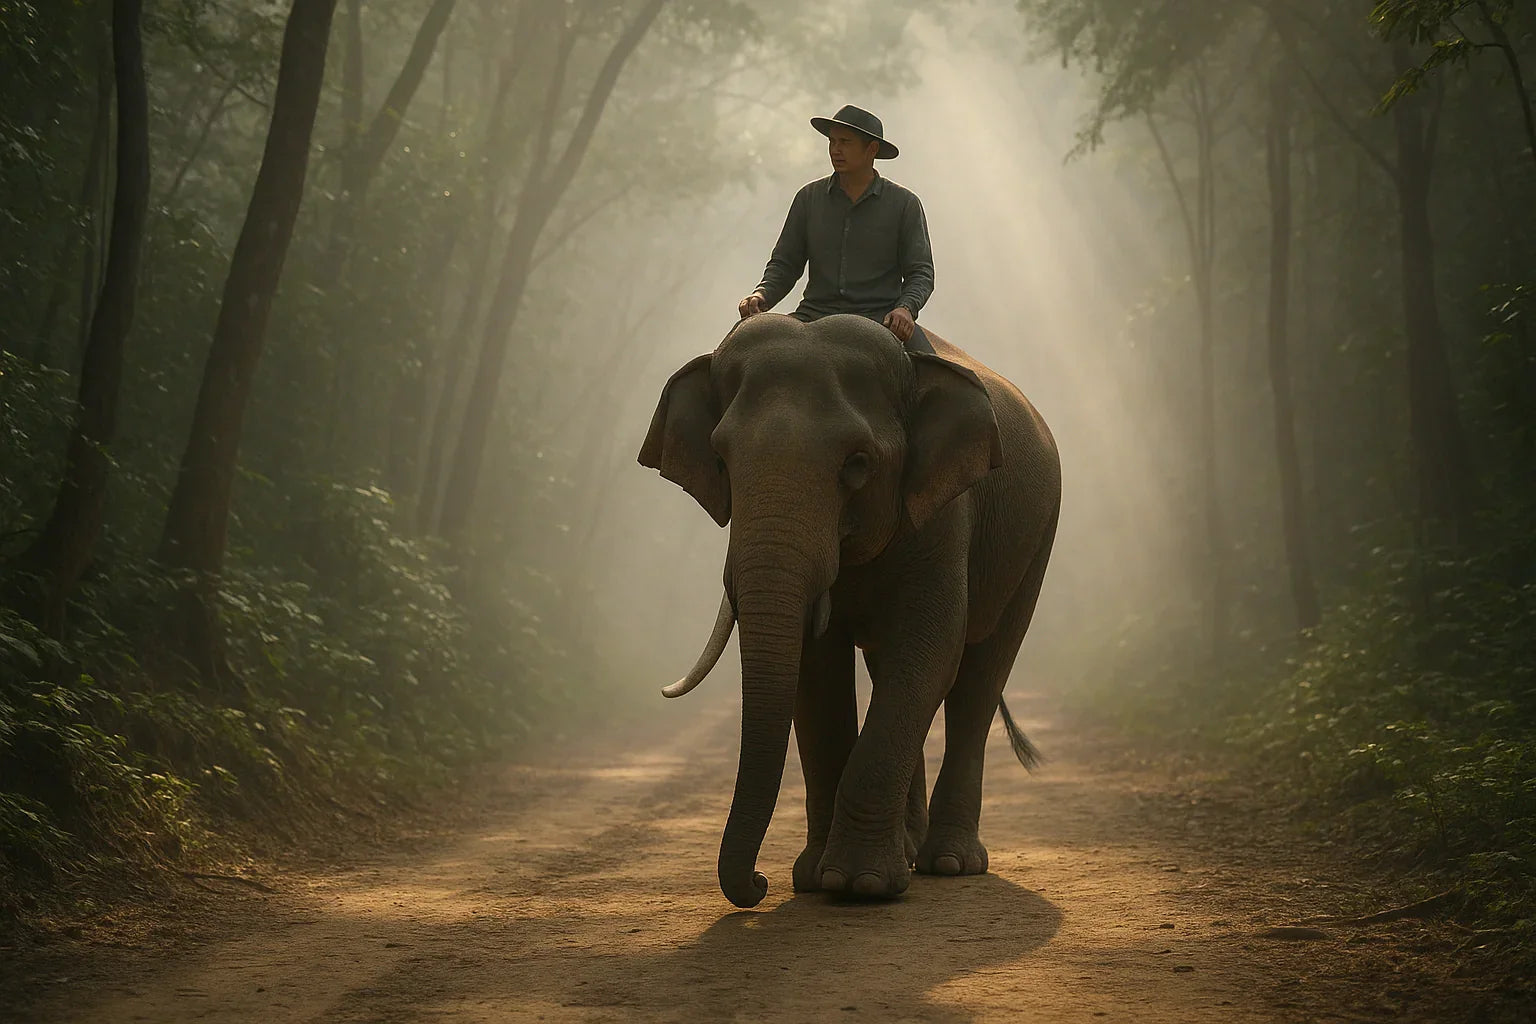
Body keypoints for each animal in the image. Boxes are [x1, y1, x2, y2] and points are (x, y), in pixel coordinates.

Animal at [638, 313, 1060, 909]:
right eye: (721, 460)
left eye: (858, 463)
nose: (758, 883)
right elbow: (816, 671)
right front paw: (815, 878)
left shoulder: (945, 512)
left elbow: (930, 652)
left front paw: (861, 884)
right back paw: (910, 849)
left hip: (1037, 536)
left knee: (981, 673)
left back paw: (950, 863)